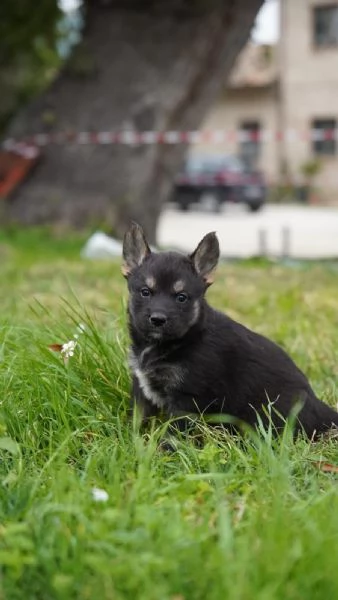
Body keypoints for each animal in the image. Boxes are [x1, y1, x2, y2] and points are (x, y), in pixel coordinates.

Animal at [121, 220, 338, 440]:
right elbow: (137, 420)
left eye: (181, 297)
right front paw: (133, 440)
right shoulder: (141, 390)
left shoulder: (187, 398)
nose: (157, 319)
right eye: (145, 292)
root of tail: (322, 410)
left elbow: (173, 434)